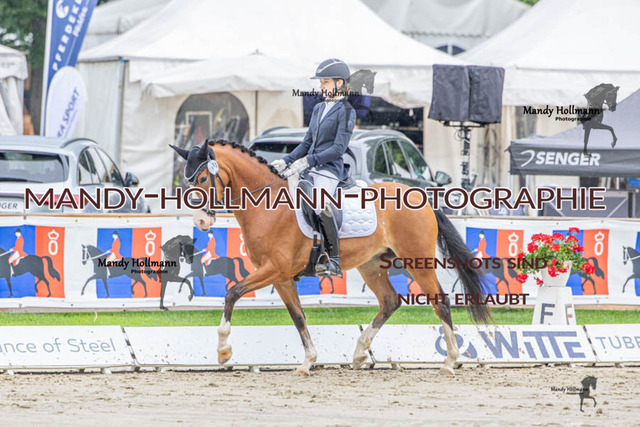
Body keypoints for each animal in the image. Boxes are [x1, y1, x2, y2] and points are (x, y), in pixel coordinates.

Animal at [171, 139, 491, 376]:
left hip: (416, 261)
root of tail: (420, 195)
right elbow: (298, 316)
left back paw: (450, 360)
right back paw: (360, 353)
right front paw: (307, 362)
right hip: (371, 265)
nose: (200, 222)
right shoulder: (282, 277)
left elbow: (232, 293)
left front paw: (223, 351)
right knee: (390, 301)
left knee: (440, 301)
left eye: (202, 178)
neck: (268, 206)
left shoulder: (275, 269)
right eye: (186, 181)